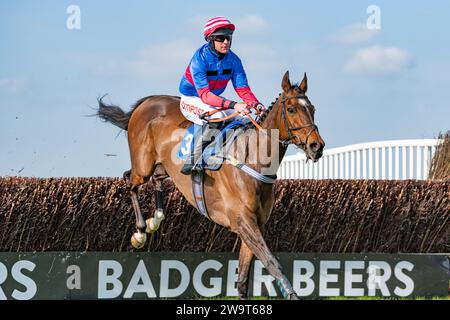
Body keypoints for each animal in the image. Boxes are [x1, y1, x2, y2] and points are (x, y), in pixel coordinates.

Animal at [97, 71, 324, 298]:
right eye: (291, 109)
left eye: (312, 109)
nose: (317, 146)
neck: (253, 159)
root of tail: (147, 102)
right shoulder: (243, 221)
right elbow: (271, 262)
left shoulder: (255, 223)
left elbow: (243, 278)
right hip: (143, 166)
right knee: (129, 180)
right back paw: (141, 232)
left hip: (164, 167)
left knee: (155, 180)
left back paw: (156, 219)